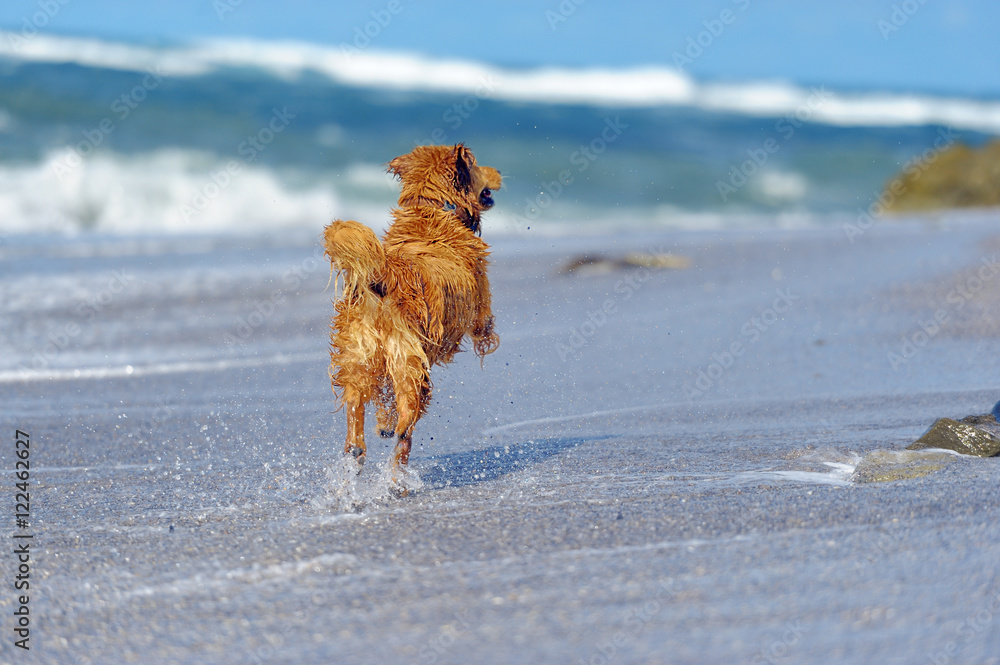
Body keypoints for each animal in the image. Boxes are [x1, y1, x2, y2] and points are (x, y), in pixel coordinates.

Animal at [324, 144, 504, 472]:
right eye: (475, 164)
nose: (497, 171)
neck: (433, 209)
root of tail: (385, 275)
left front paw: (382, 422)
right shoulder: (481, 297)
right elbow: (485, 324)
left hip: (358, 354)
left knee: (357, 402)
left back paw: (359, 445)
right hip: (409, 360)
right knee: (407, 420)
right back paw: (399, 447)